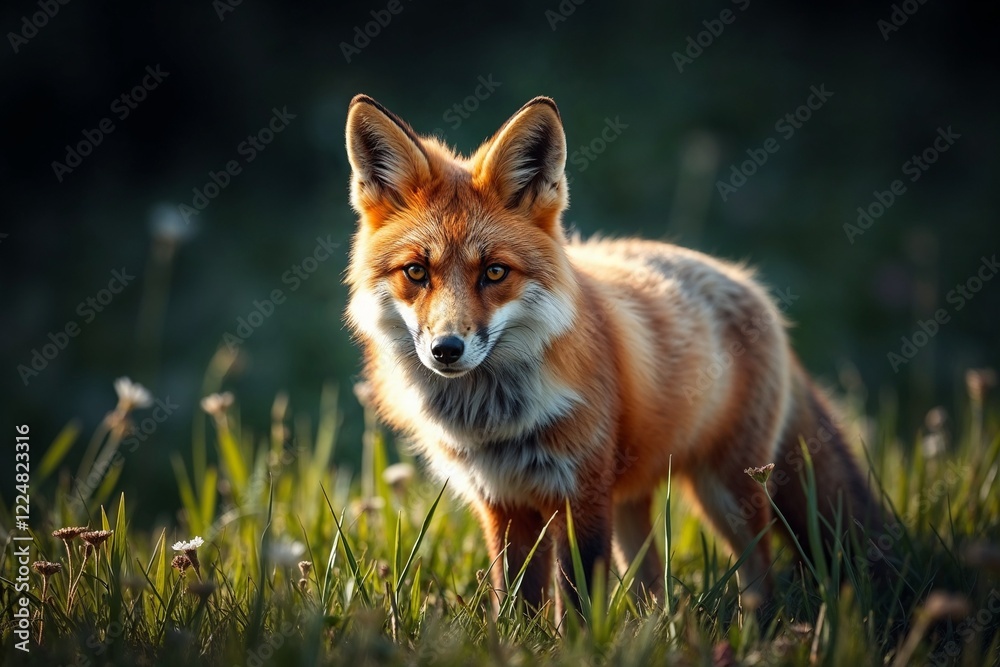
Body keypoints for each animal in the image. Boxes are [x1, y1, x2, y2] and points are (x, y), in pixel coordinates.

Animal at [343, 94, 887, 614]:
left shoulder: (580, 496)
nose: (446, 349)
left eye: (495, 272)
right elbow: (515, 604)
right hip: (632, 501)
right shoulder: (502, 503)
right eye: (417, 272)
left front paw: (582, 640)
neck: (495, 420)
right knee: (651, 585)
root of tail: (752, 287)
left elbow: (580, 605)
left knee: (760, 574)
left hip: (728, 491)